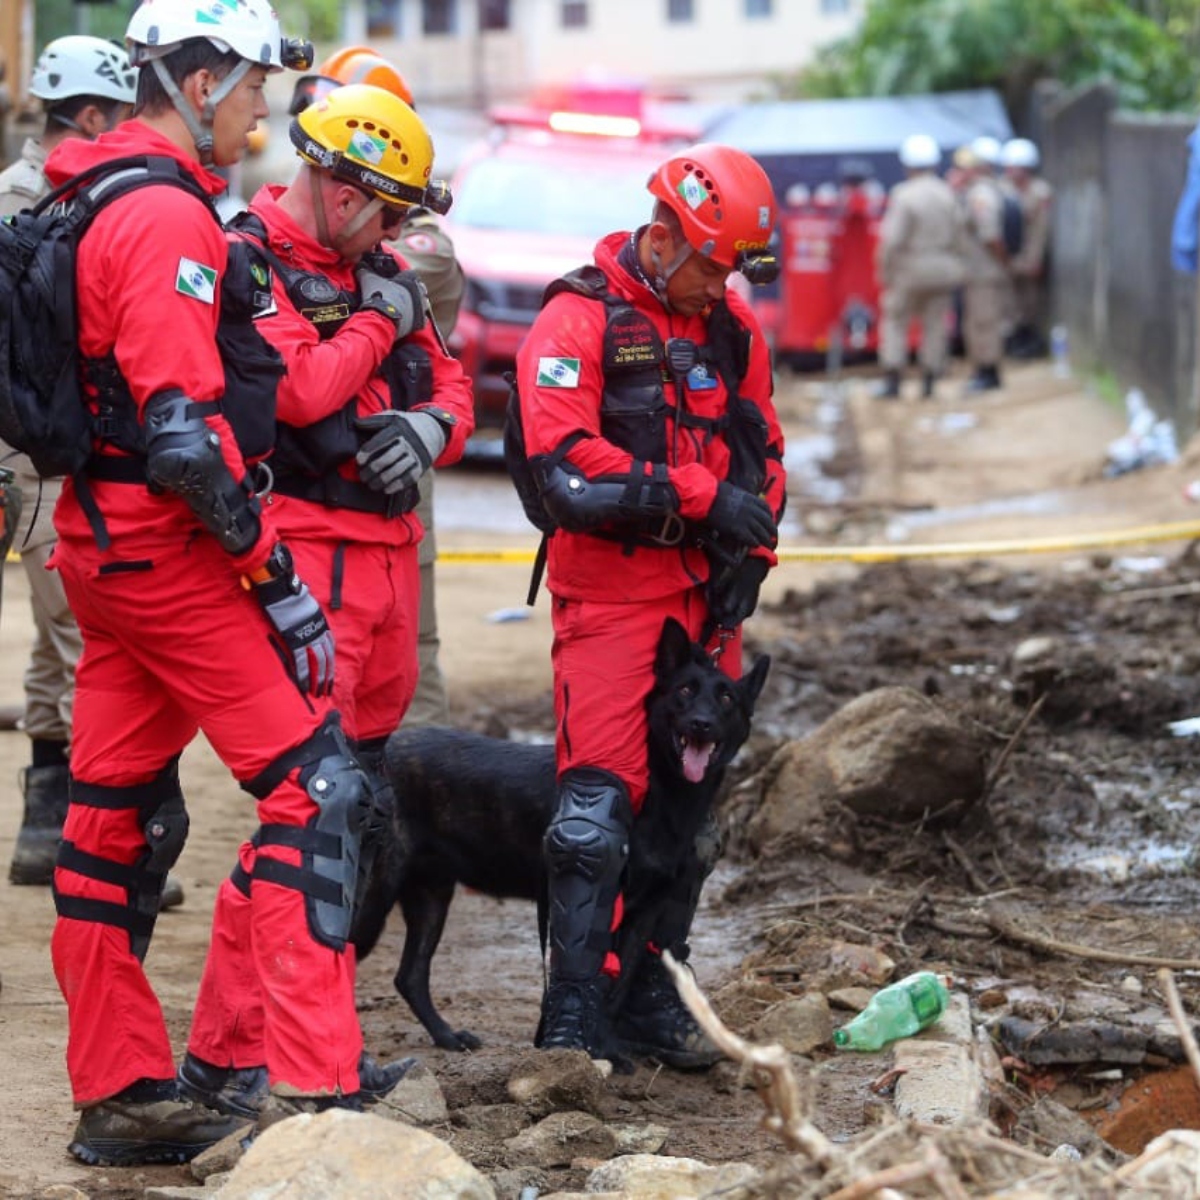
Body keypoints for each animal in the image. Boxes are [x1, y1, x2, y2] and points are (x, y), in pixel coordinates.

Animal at [350, 619, 772, 1051]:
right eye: (684, 690)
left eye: (727, 699)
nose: (702, 723)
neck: (664, 792)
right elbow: (594, 978)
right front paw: (591, 1053)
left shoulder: (643, 914)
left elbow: (617, 987)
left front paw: (608, 1048)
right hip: (374, 898)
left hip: (431, 894)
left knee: (410, 976)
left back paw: (447, 1036)